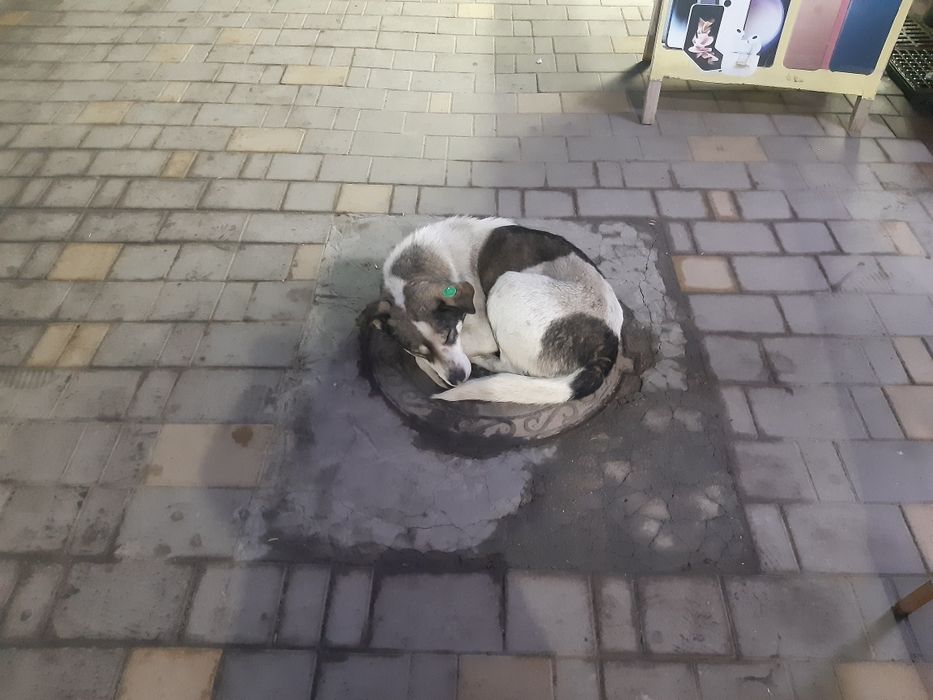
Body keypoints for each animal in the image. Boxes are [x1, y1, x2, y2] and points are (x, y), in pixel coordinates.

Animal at [367, 217, 624, 404]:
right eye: (419, 350)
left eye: (450, 335)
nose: (457, 379)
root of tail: (610, 340)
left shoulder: (483, 334)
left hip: (507, 283)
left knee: (513, 367)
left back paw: (485, 362)